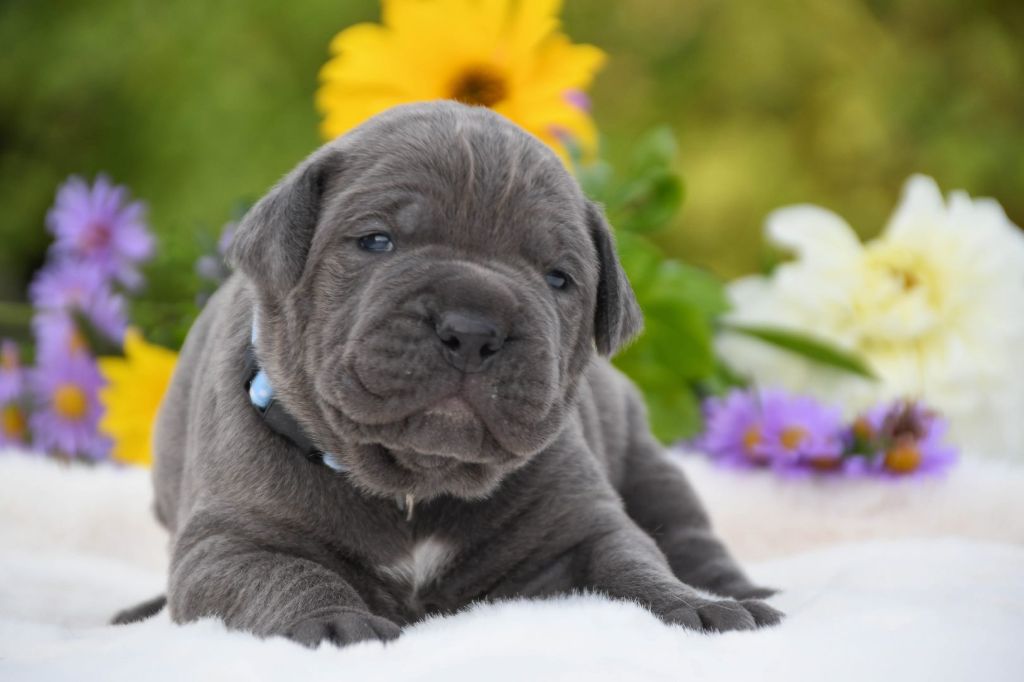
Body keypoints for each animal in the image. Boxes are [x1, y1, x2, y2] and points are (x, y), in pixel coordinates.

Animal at [128, 99, 782, 643]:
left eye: (558, 278)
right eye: (377, 241)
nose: (473, 329)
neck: (415, 488)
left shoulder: (585, 526)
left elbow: (635, 564)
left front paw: (693, 606)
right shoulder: (228, 545)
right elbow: (285, 574)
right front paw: (333, 619)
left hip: (649, 464)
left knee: (690, 533)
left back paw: (740, 590)